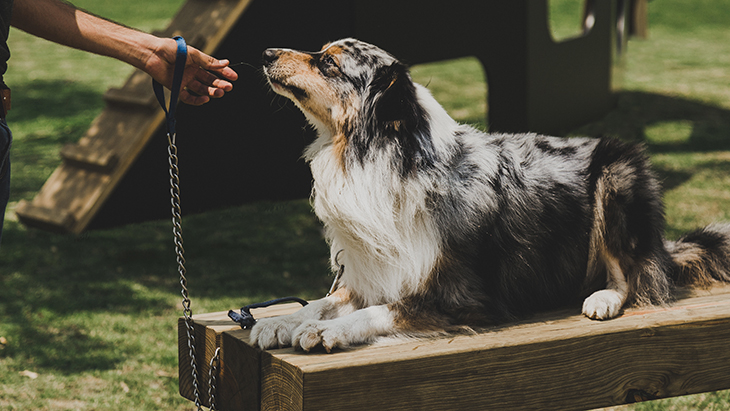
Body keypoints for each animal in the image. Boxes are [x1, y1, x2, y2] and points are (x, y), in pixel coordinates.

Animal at [252, 38, 728, 352]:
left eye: (328, 63)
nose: (267, 54)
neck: (380, 156)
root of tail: (661, 247)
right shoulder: (372, 272)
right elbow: (322, 302)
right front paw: (283, 322)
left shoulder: (460, 296)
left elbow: (377, 312)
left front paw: (329, 331)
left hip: (617, 177)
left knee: (633, 275)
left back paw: (603, 298)